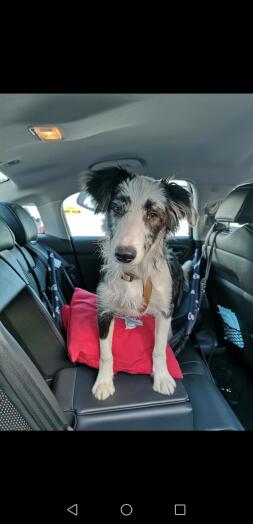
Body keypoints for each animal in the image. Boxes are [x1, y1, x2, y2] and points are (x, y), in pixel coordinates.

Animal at [81, 168, 198, 402]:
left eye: (153, 215)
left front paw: (162, 377)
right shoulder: (104, 310)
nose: (124, 255)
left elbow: (159, 349)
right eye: (117, 208)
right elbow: (106, 352)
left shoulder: (164, 310)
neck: (133, 276)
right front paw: (104, 382)